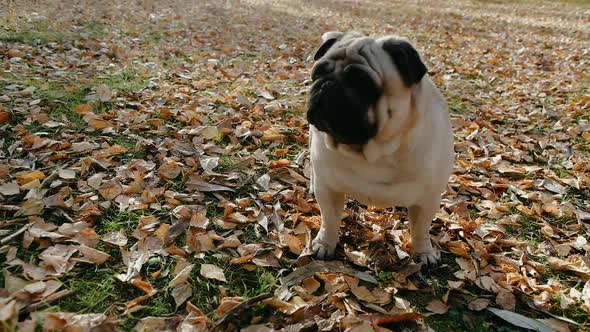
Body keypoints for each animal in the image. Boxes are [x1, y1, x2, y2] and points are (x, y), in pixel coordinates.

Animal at [308, 31, 456, 264]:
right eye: (317, 74)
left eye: (363, 84)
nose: (326, 85)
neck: (374, 153)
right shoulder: (329, 189)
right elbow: (329, 220)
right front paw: (325, 243)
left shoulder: (428, 200)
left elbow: (421, 229)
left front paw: (424, 252)